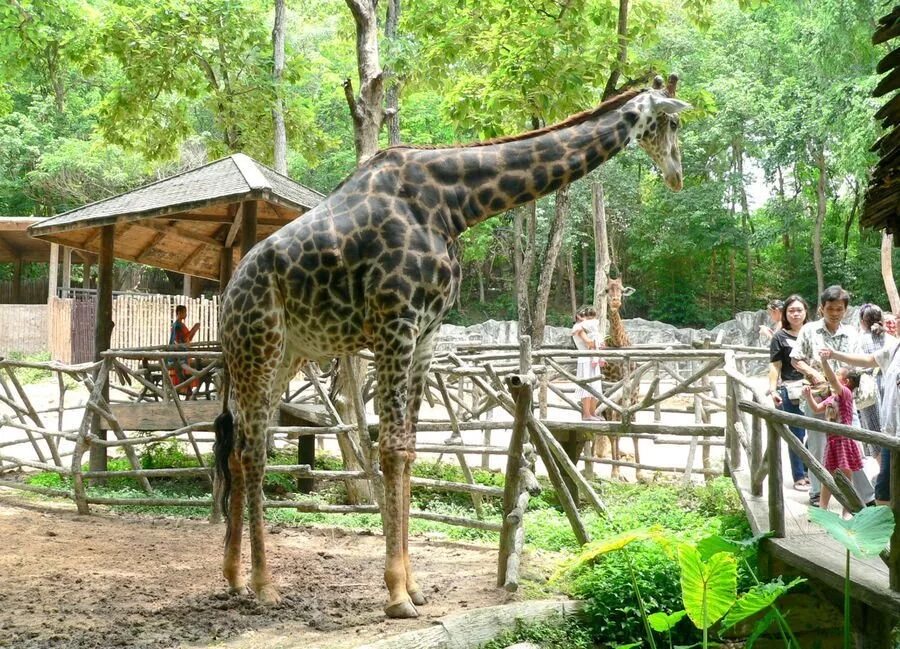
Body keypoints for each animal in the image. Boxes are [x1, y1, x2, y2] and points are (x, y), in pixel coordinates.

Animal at [211, 74, 688, 616]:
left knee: (238, 446)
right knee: (253, 449)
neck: (455, 205)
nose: (677, 175)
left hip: (286, 355)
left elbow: (411, 448)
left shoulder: (427, 333)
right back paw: (263, 584)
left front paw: (414, 586)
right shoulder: (396, 322)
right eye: (673, 123)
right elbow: (392, 448)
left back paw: (234, 578)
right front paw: (397, 594)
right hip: (260, 346)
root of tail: (228, 295)